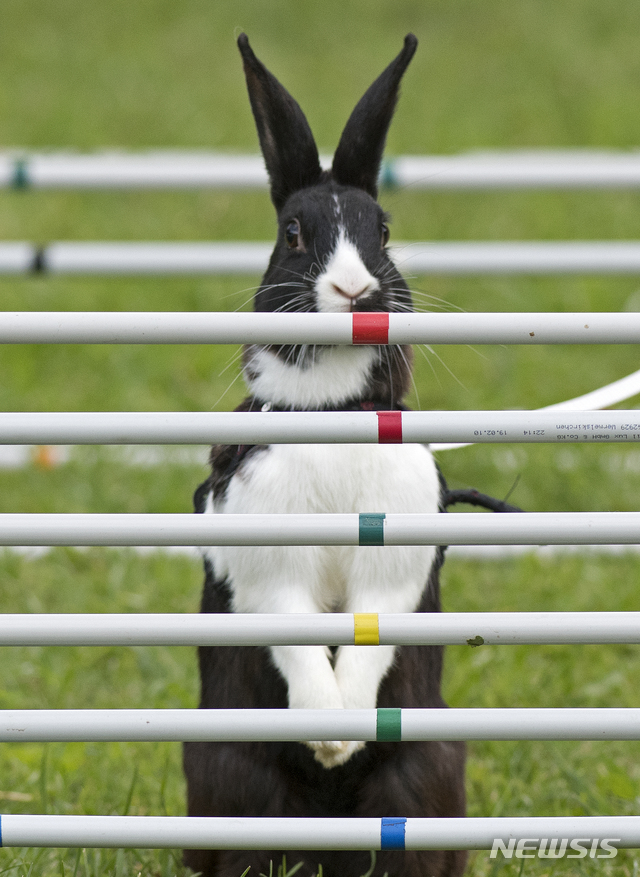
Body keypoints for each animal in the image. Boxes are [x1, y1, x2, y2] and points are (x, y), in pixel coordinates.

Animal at [182, 32, 468, 876]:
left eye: (385, 230)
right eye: (293, 234)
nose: (355, 291)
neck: (335, 412)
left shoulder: (396, 569)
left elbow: (371, 629)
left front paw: (344, 737)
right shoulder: (270, 573)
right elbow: (300, 634)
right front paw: (331, 734)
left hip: (426, 777)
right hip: (231, 781)